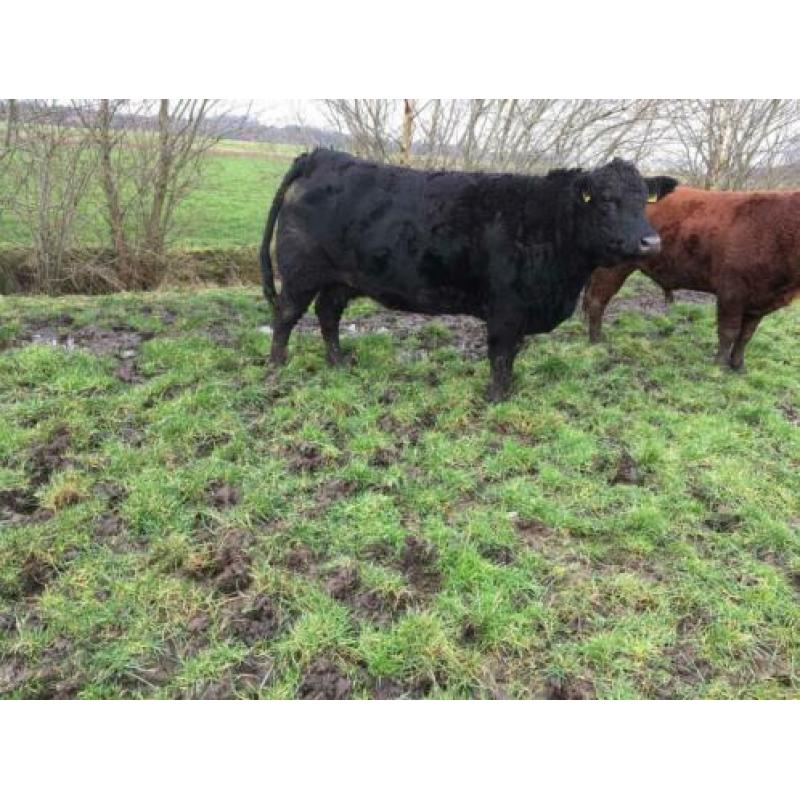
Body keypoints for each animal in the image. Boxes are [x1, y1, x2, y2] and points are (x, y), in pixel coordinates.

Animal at [260, 149, 677, 400]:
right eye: (607, 201)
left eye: (644, 201)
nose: (650, 241)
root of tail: (321, 156)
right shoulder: (506, 308)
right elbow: (500, 355)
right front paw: (497, 398)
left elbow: (512, 355)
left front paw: (508, 390)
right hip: (301, 273)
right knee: (286, 315)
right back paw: (277, 366)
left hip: (342, 278)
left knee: (327, 314)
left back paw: (338, 362)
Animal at [583, 186, 800, 371]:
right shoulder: (731, 293)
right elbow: (728, 332)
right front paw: (719, 367)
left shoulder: (759, 303)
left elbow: (745, 336)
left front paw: (738, 366)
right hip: (612, 268)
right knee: (597, 300)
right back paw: (596, 340)